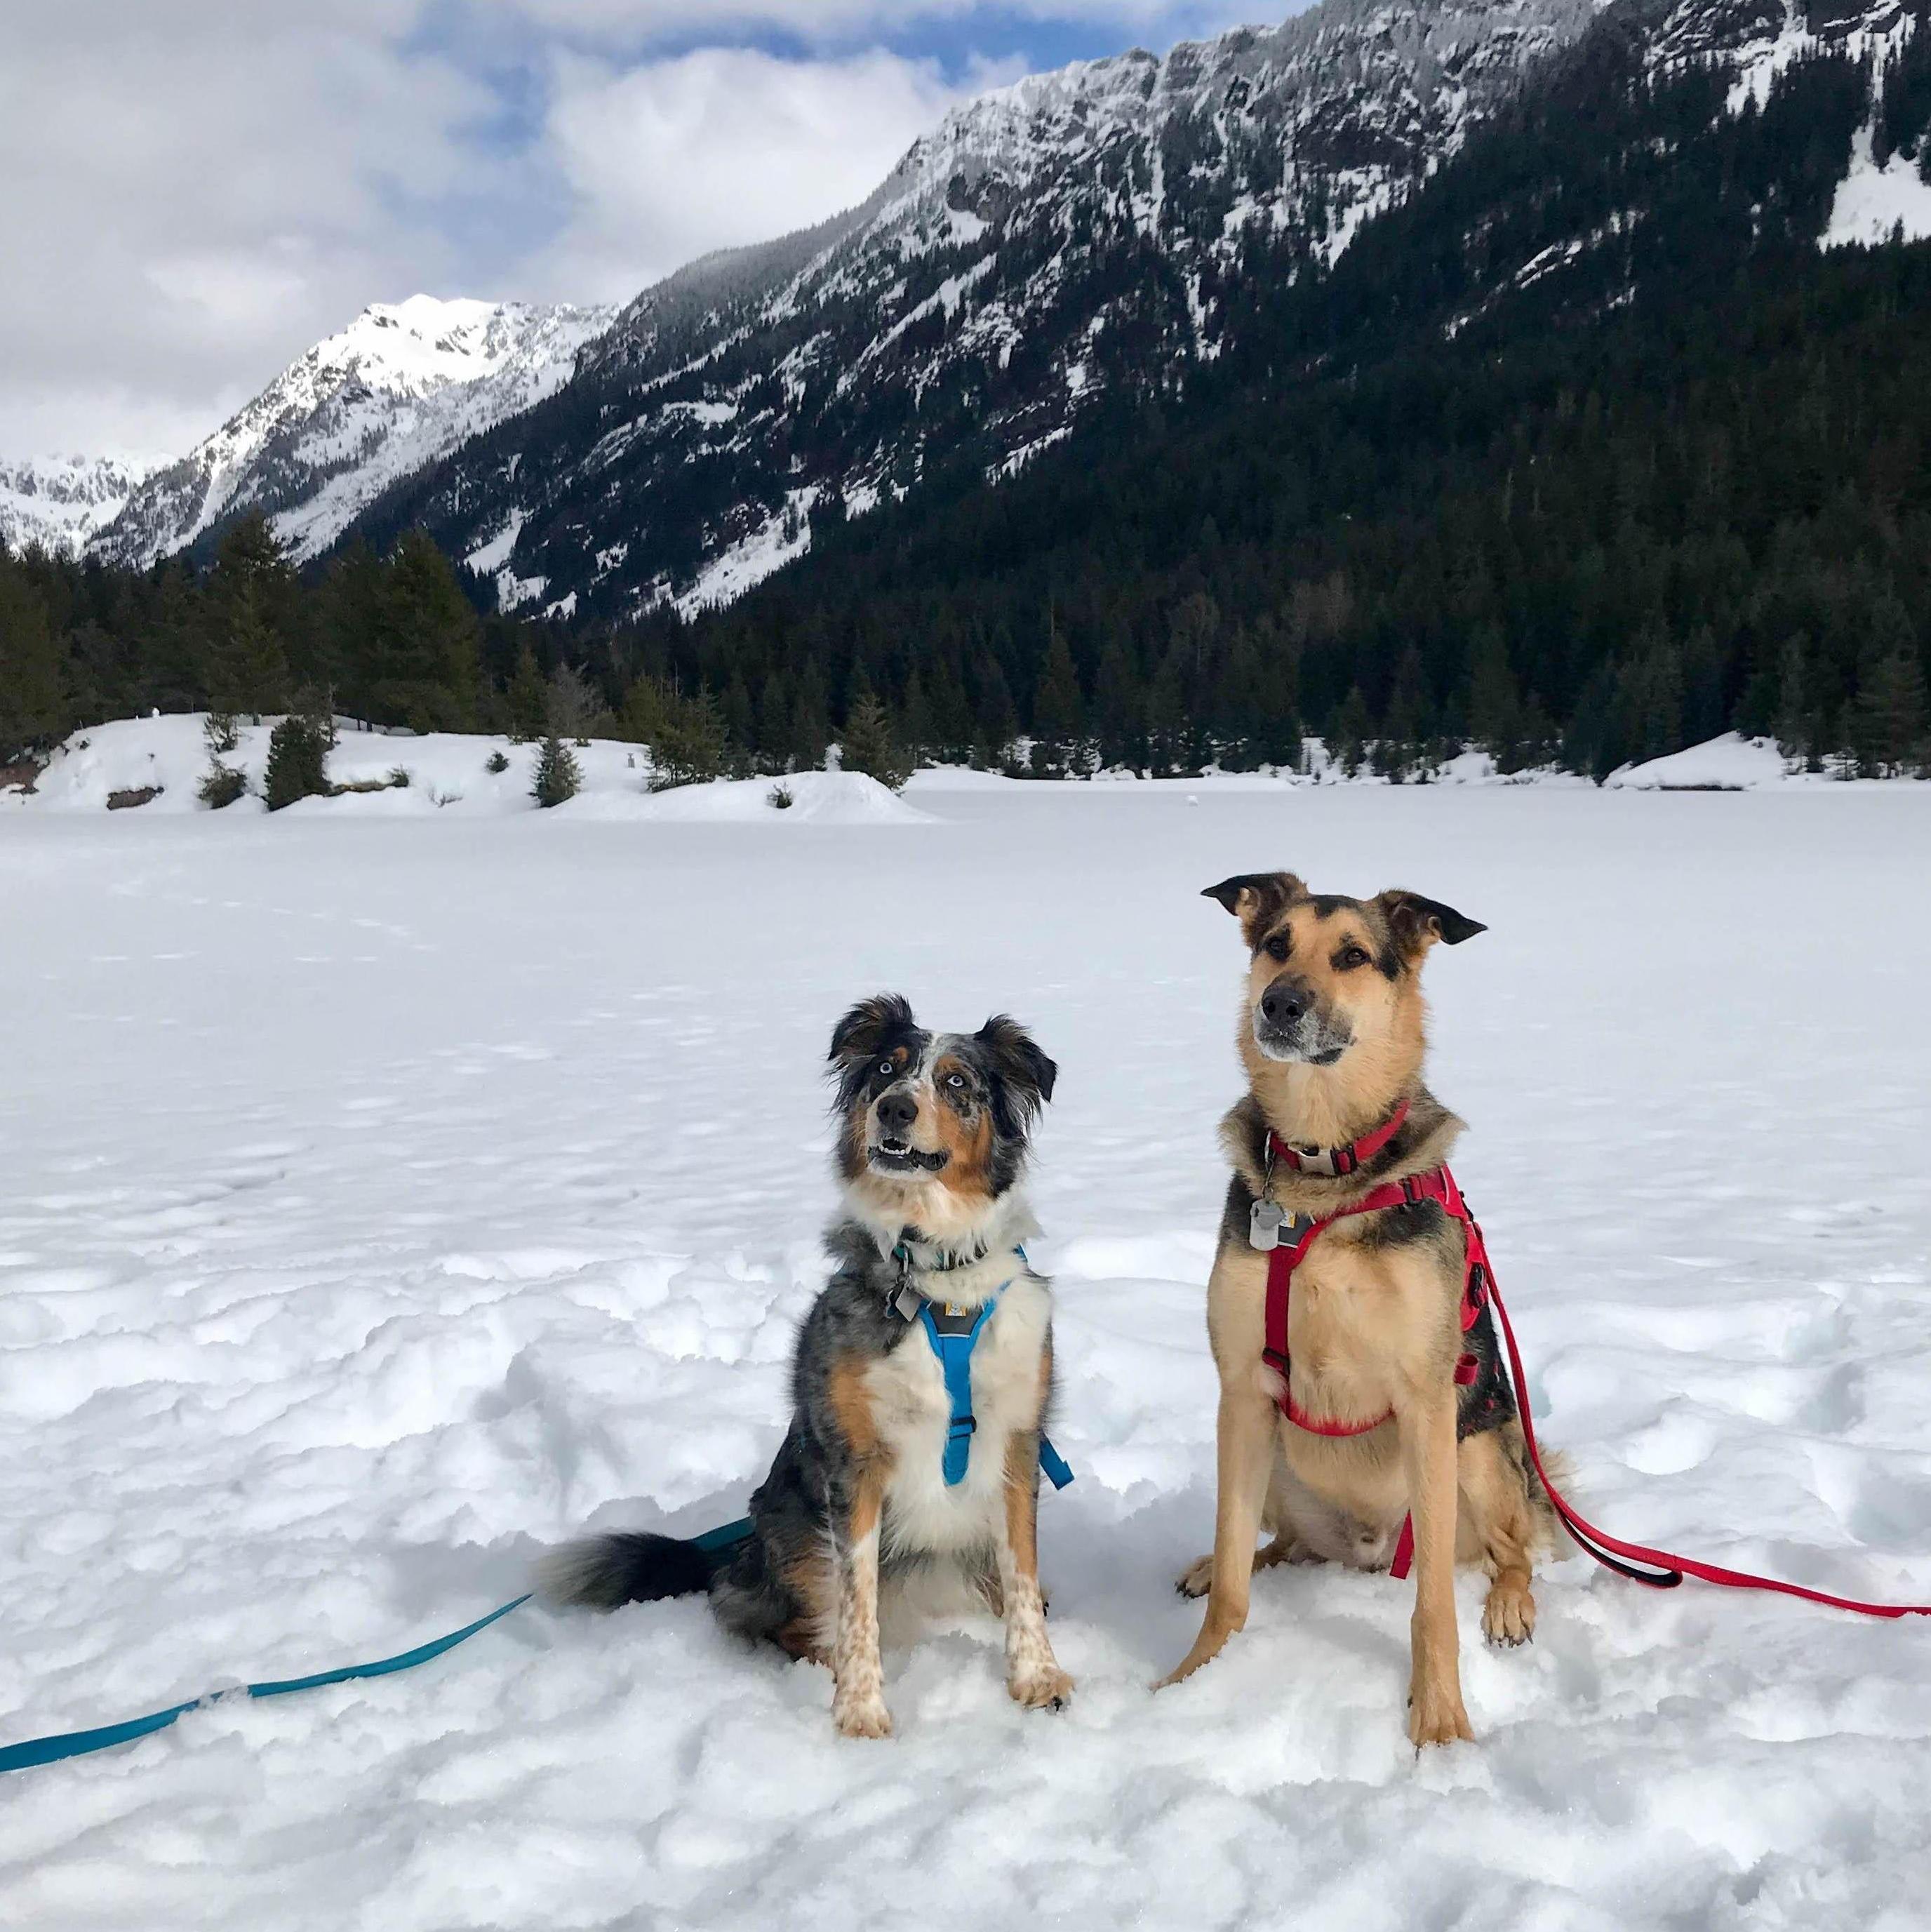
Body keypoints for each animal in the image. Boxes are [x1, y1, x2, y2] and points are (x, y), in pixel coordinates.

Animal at [544, 997, 1074, 1738]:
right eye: (885, 1070)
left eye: (956, 1081)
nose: (893, 1109)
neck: (937, 1284)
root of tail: (737, 1555)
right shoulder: (854, 1466)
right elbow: (856, 1604)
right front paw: (860, 1710)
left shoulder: (1017, 1444)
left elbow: (1022, 1575)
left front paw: (1037, 1677)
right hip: (791, 1526)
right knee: (787, 1621)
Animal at [1158, 877, 1552, 1754]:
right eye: (1275, 942)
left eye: (1352, 954)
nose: (1278, 1002)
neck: (1321, 1173)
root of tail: (1364, 1553)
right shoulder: (1242, 1389)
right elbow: (1232, 1582)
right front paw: (1195, 1679)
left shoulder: (1426, 1401)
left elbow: (1433, 1606)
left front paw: (1439, 1723)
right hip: (1272, 1456)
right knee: (1270, 1546)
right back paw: (1209, 1562)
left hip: (1478, 1449)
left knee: (1517, 1545)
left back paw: (1510, 1603)